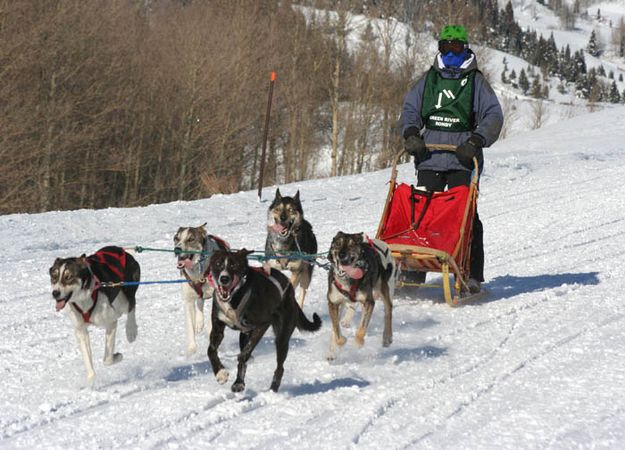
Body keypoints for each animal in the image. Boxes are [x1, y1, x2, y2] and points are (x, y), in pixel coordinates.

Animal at [49, 246, 141, 384]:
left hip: (125, 295)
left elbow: (107, 360)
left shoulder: (111, 321)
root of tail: (121, 250)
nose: (55, 293)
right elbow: (87, 359)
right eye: (54, 277)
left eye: (69, 277)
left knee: (131, 305)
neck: (83, 300)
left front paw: (117, 356)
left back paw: (131, 331)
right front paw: (91, 380)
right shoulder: (80, 330)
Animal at [173, 224, 229, 356]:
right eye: (176, 238)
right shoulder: (188, 300)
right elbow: (189, 326)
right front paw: (191, 348)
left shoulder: (219, 295)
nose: (177, 249)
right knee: (200, 302)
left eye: (191, 239)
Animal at [207, 248, 322, 392]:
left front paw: (242, 360)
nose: (224, 278)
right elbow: (211, 351)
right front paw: (220, 373)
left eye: (234, 265)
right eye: (218, 264)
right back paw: (239, 382)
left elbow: (244, 354)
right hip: (244, 334)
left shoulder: (262, 325)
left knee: (280, 367)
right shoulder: (217, 328)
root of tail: (290, 292)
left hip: (282, 337)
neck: (235, 296)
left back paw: (273, 389)